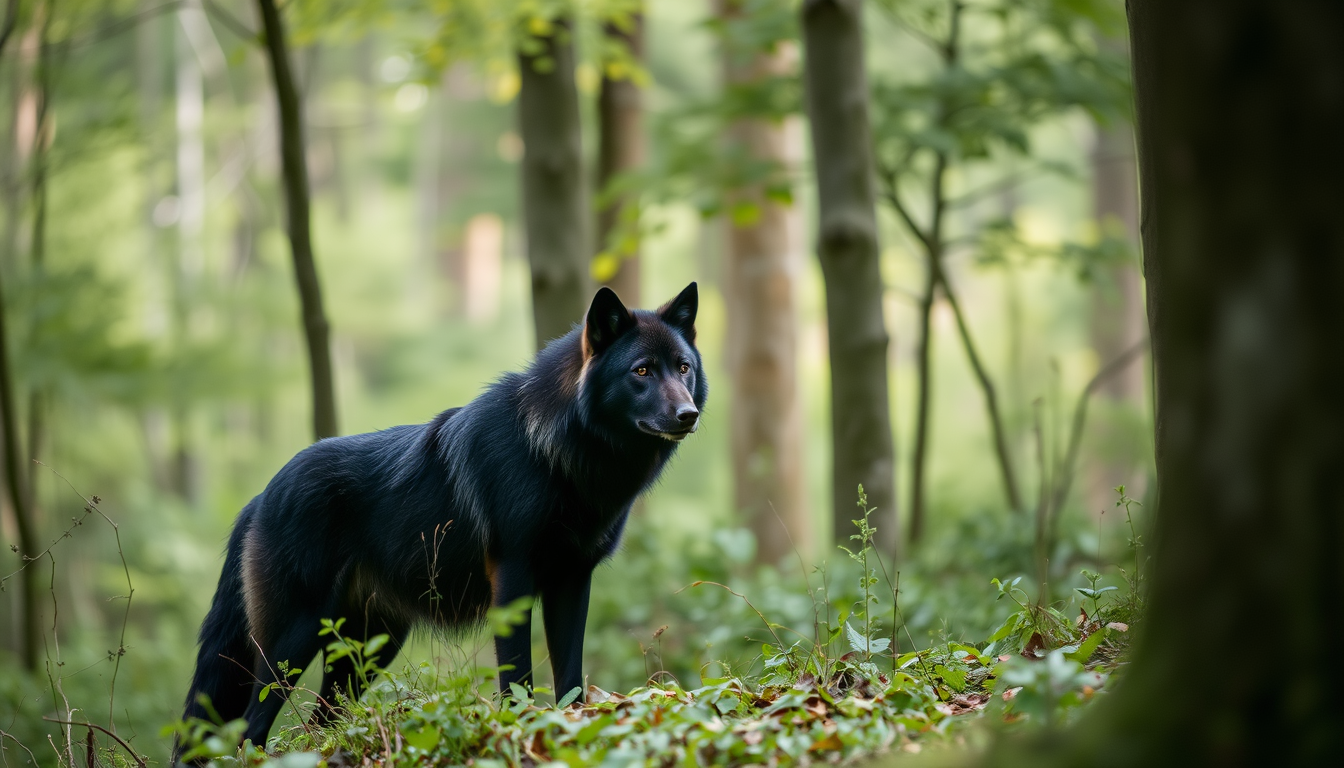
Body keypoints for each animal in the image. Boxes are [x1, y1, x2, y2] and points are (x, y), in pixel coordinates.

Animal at [178, 283, 706, 752]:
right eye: (641, 370)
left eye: (683, 368)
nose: (690, 415)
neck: (555, 448)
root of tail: (261, 496)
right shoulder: (513, 581)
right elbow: (518, 678)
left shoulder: (572, 581)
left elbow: (570, 678)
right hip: (293, 643)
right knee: (249, 729)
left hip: (367, 651)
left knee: (317, 724)